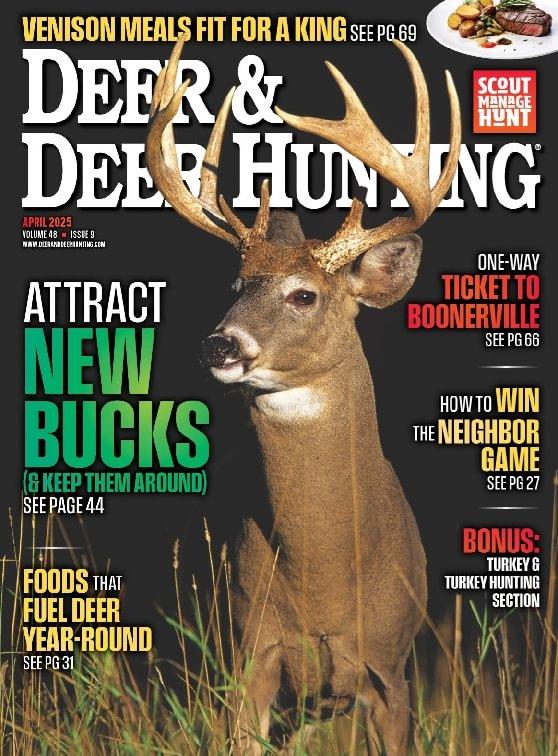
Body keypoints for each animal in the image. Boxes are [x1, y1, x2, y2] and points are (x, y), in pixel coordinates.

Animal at [147, 37, 461, 755]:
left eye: (303, 295)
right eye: (237, 285)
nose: (219, 345)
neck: (323, 575)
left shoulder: (389, 669)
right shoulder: (250, 654)